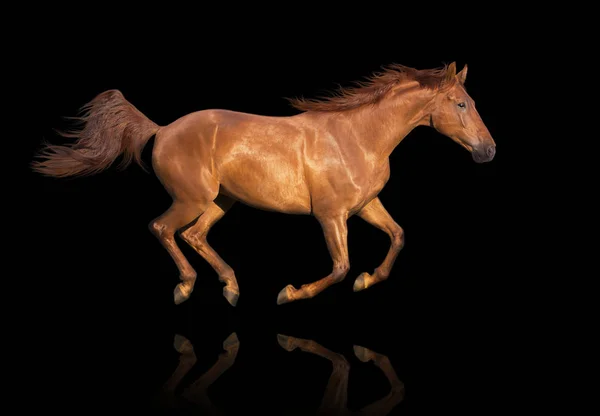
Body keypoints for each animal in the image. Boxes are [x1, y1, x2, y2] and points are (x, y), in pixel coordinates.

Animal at [30, 63, 494, 308]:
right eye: (460, 103)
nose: (488, 150)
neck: (357, 137)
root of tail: (162, 130)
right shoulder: (331, 215)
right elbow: (340, 267)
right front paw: (290, 293)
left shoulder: (365, 205)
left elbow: (397, 236)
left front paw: (368, 280)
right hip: (192, 199)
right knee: (162, 228)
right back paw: (185, 287)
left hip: (221, 202)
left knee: (195, 236)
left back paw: (232, 288)